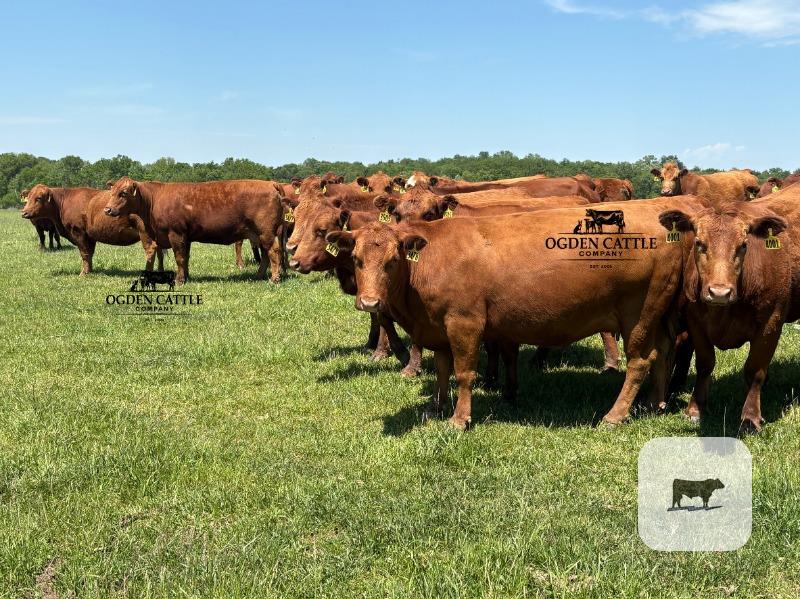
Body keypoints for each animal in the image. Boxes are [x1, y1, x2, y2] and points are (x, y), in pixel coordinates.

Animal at [20, 185, 163, 275]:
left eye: (38, 198)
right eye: (28, 198)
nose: (24, 212)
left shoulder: (78, 232)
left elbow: (84, 253)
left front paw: (84, 273)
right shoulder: (90, 236)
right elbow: (90, 253)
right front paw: (90, 270)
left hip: (145, 233)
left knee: (151, 250)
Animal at [104, 177, 285, 284]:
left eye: (123, 193)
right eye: (111, 192)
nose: (107, 209)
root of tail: (271, 183)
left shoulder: (175, 233)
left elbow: (179, 258)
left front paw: (179, 280)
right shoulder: (186, 236)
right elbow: (186, 258)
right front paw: (186, 276)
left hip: (266, 231)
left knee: (273, 251)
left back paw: (274, 278)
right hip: (259, 233)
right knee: (266, 254)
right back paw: (259, 276)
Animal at [326, 196, 702, 430]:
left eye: (393, 260)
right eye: (357, 259)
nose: (370, 303)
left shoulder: (464, 323)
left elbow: (464, 373)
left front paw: (459, 419)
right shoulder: (438, 328)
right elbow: (442, 370)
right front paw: (436, 406)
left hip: (638, 314)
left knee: (640, 360)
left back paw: (615, 414)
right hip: (659, 314)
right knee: (664, 351)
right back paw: (655, 404)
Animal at [659, 203, 791, 432]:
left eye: (744, 245)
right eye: (699, 243)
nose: (719, 293)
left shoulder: (771, 322)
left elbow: (755, 370)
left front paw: (750, 417)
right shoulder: (696, 322)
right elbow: (705, 364)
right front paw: (695, 409)